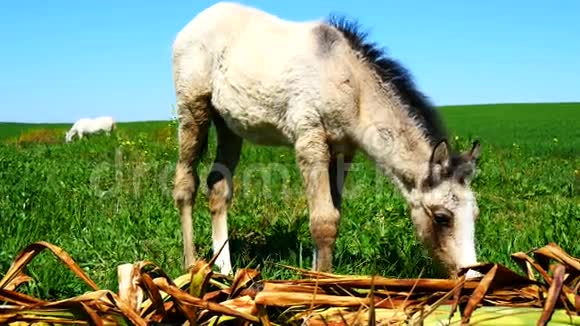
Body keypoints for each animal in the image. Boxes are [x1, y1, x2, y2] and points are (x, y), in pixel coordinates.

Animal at [172, 1, 484, 278]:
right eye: (442, 217)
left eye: (476, 214)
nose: (471, 277)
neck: (352, 87)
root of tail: (193, 24)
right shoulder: (310, 140)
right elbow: (323, 221)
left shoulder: (343, 152)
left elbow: (333, 216)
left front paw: (315, 275)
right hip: (193, 109)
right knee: (186, 184)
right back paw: (191, 266)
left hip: (229, 126)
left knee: (218, 187)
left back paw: (224, 270)